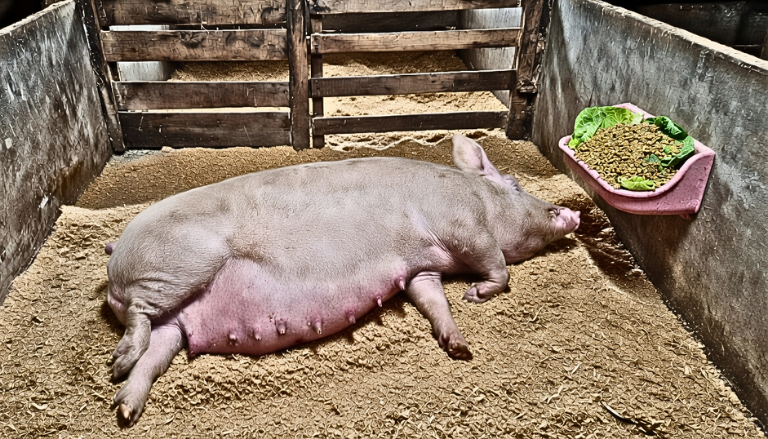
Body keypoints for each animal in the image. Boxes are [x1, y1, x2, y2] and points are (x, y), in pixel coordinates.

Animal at [105, 135, 580, 425]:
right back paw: (117, 364)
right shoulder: (464, 228)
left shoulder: (422, 268)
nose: (571, 212)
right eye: (514, 184)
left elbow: (433, 301)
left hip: (176, 319)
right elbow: (498, 266)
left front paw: (460, 348)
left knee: (155, 351)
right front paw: (476, 294)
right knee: (140, 316)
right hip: (178, 268)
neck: (479, 199)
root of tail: (114, 261)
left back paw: (125, 407)